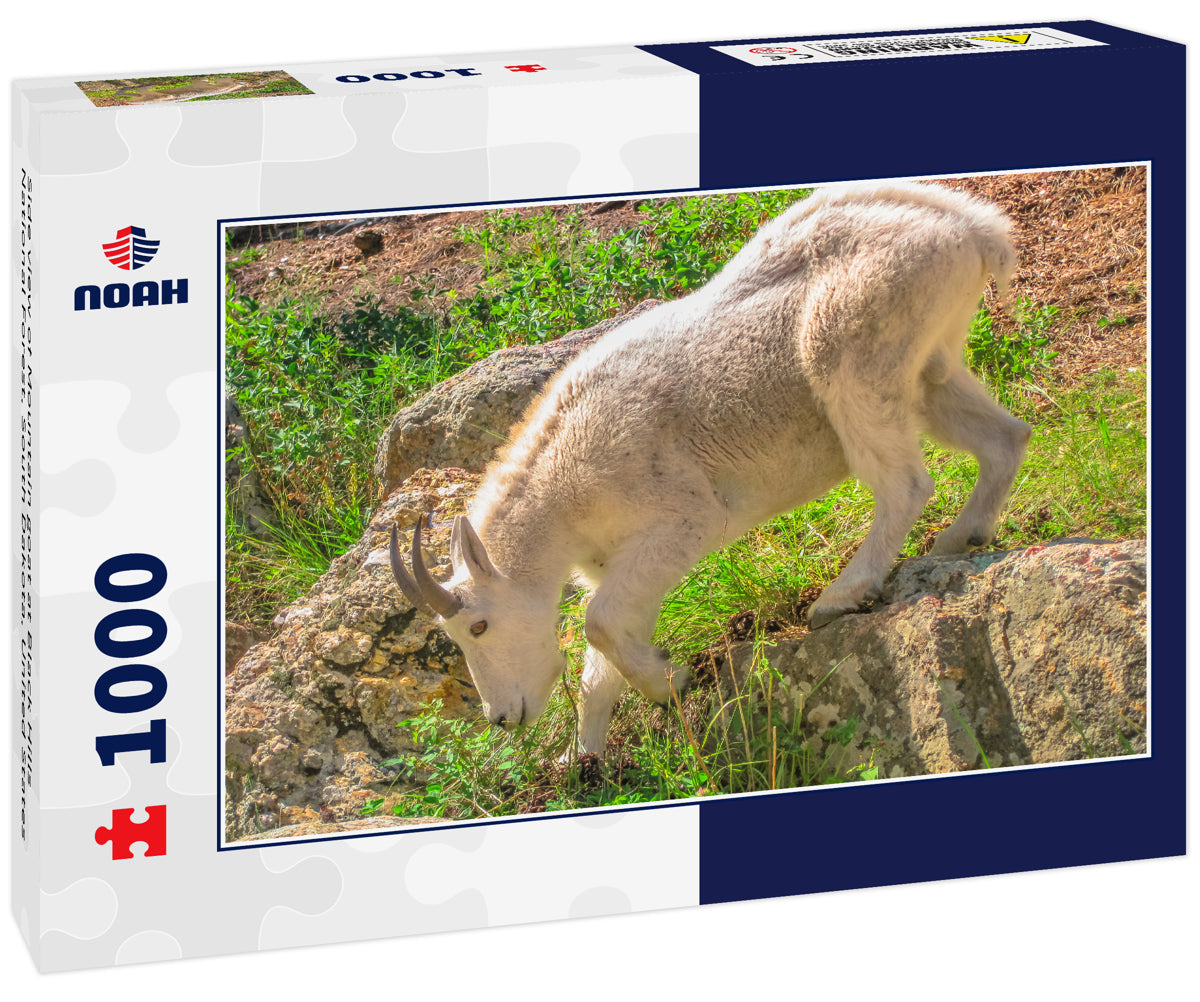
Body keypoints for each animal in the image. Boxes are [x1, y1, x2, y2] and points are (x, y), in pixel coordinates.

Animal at [391, 181, 1032, 755]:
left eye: (478, 626)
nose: (502, 717)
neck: (562, 493)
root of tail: (976, 230)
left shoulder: (685, 520)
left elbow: (599, 623)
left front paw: (670, 682)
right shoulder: (618, 566)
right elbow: (602, 661)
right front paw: (587, 760)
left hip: (851, 353)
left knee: (904, 483)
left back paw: (842, 594)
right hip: (928, 367)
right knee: (1005, 437)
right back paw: (960, 538)